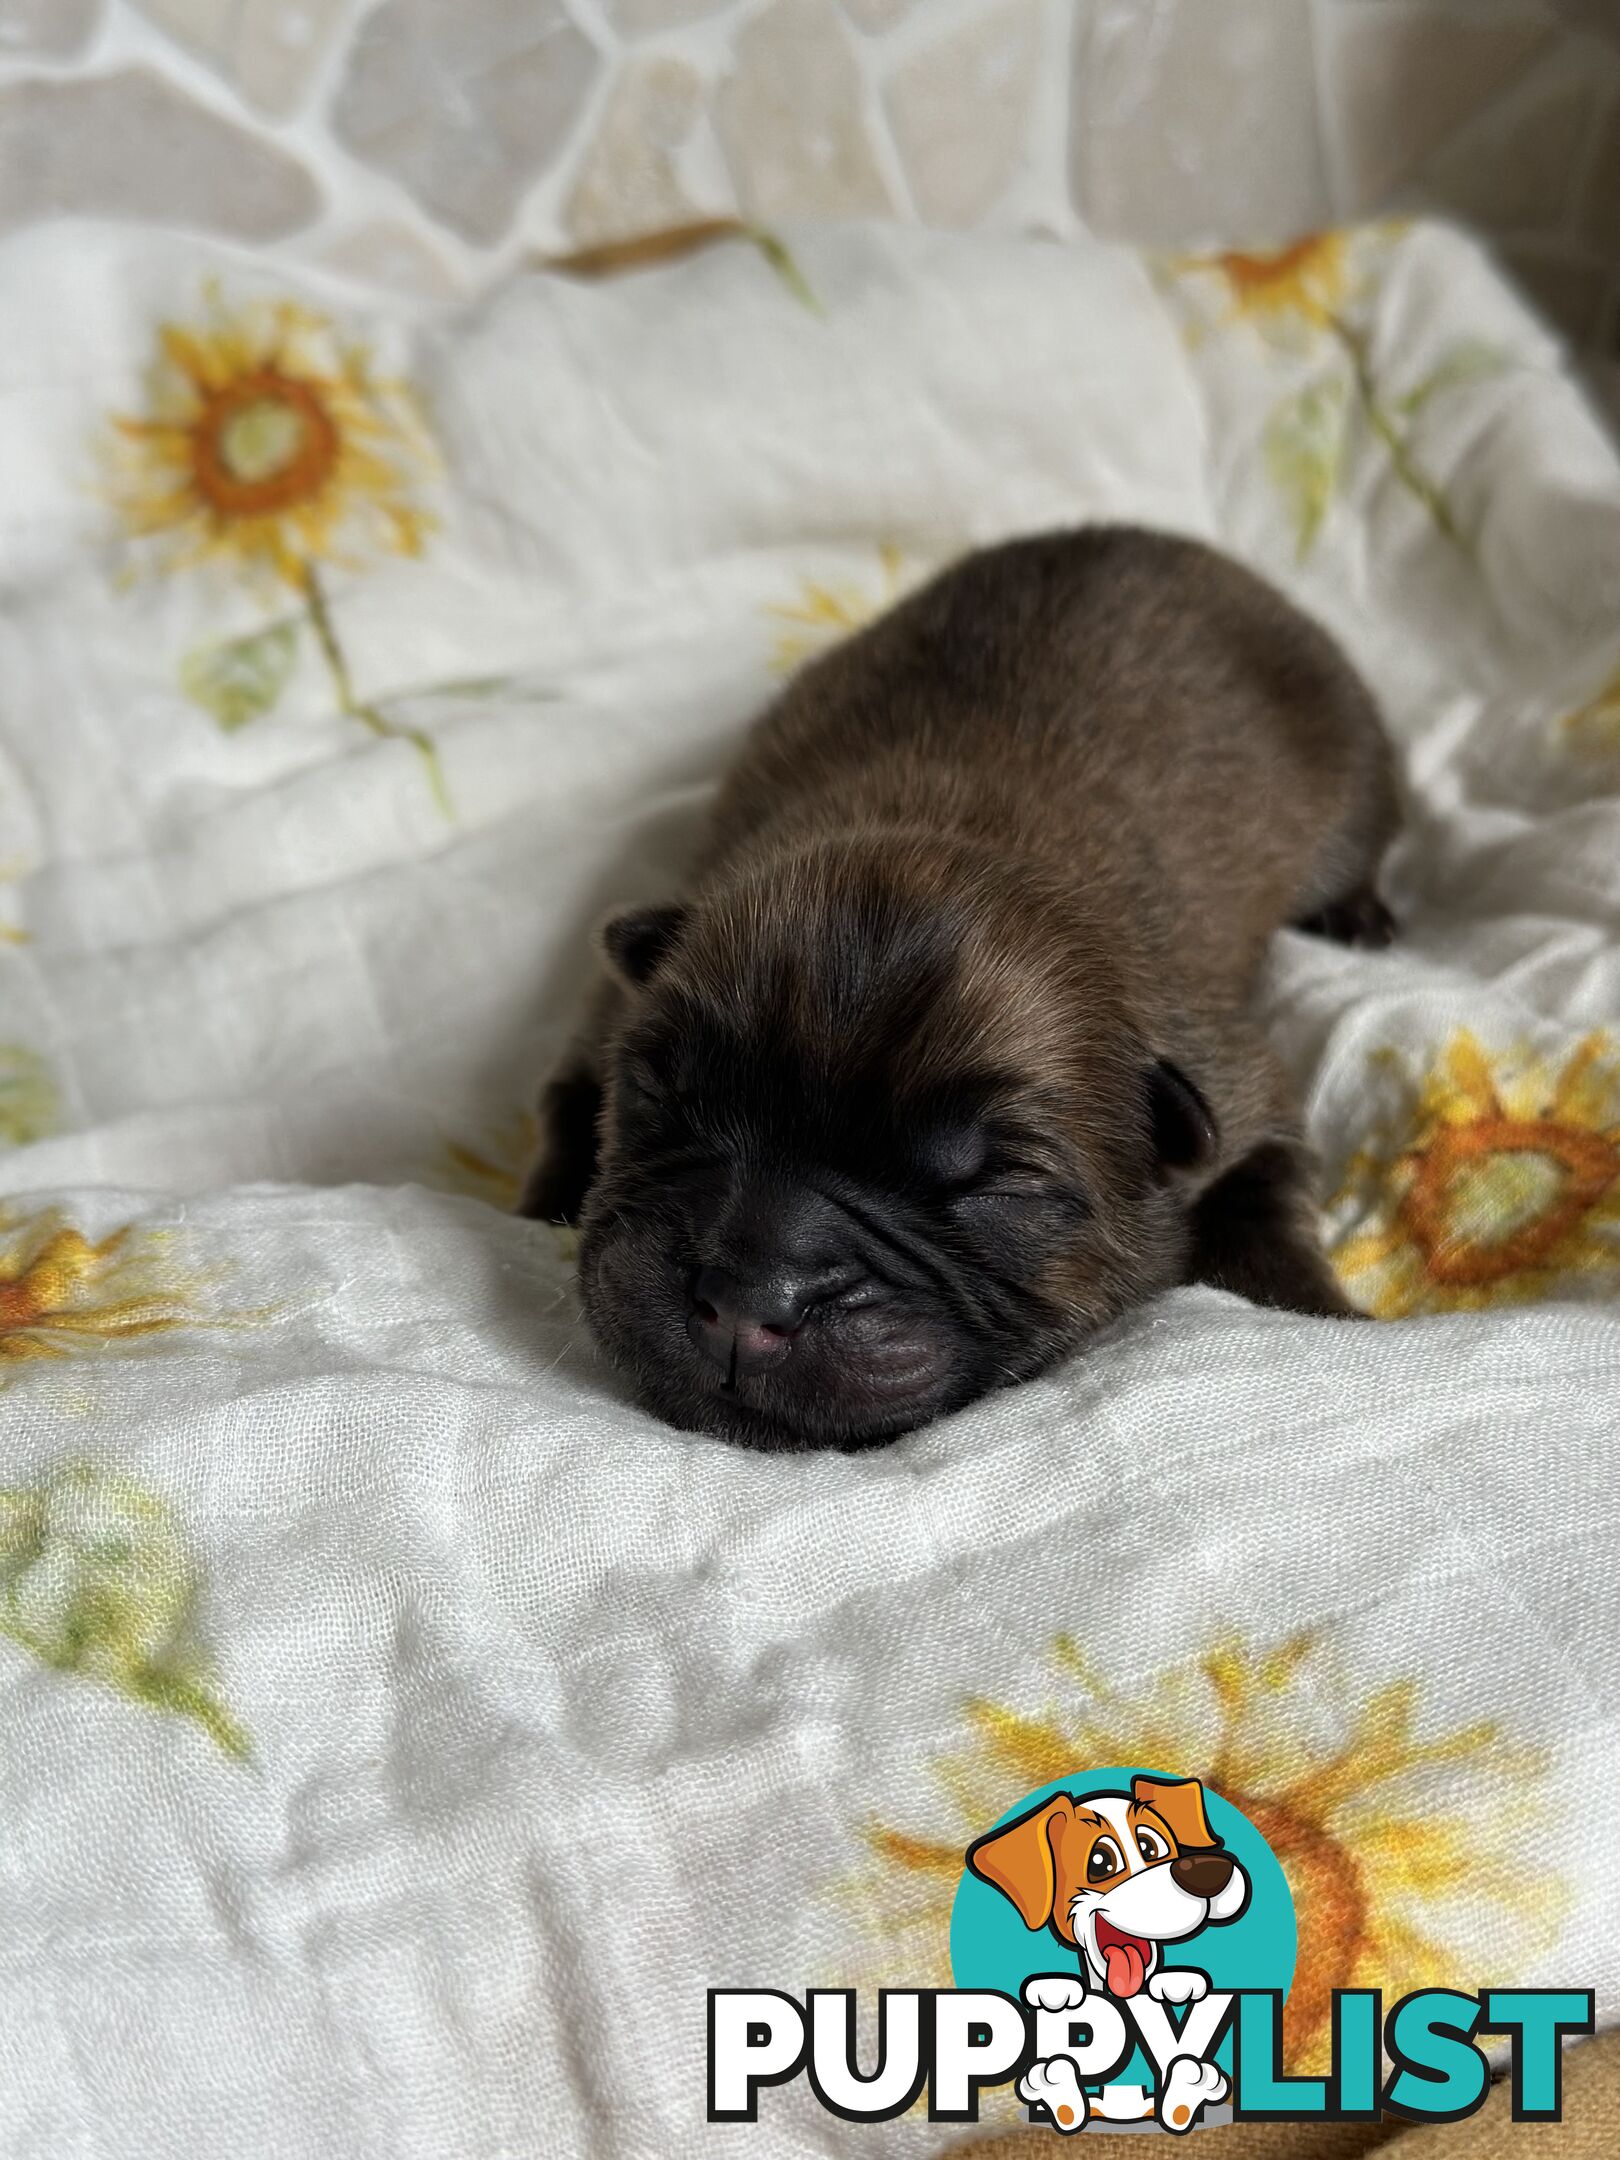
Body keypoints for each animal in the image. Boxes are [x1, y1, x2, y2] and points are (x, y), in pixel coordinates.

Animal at [520, 522, 1399, 1451]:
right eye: (663, 1093)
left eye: (993, 1188)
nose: (748, 1302)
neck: (958, 827)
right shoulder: (609, 1004)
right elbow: (567, 1103)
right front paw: (542, 1207)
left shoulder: (1236, 1084)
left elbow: (1263, 1196)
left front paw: (1314, 1308)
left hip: (1352, 779)